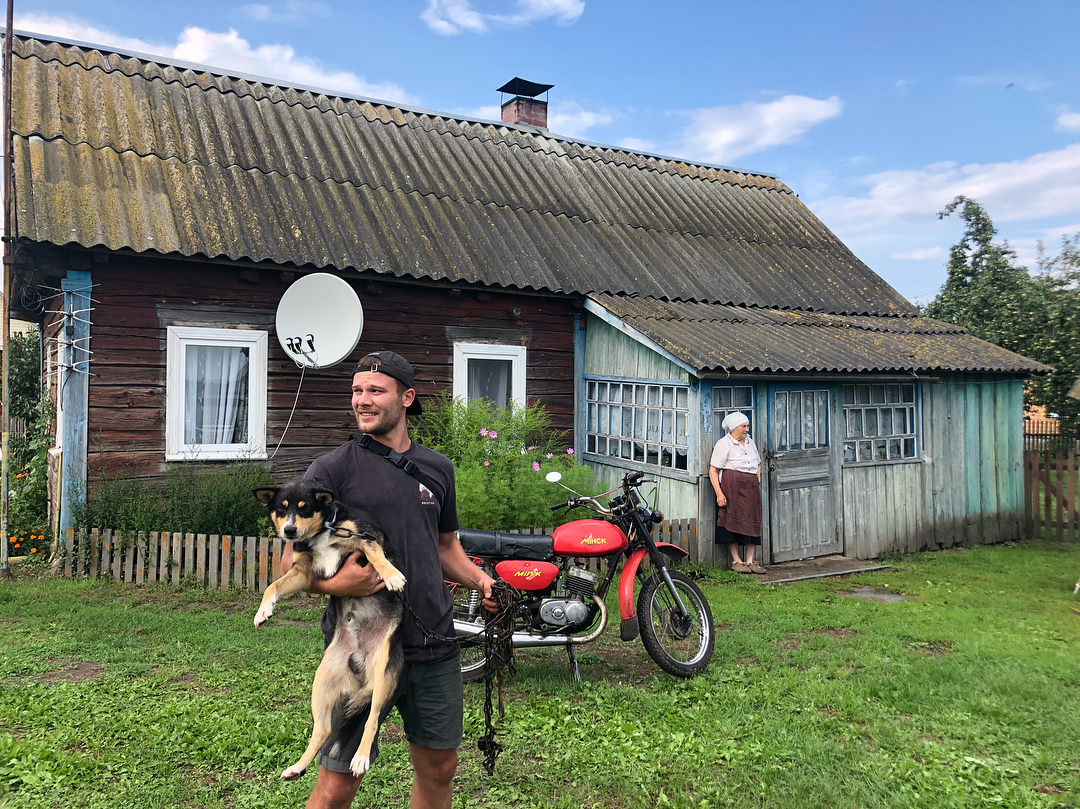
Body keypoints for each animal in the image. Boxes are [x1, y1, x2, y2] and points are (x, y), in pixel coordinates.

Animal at [254, 477, 406, 777]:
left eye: (305, 508)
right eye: (281, 508)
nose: (289, 531)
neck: (323, 530)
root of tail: (361, 666)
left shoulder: (367, 539)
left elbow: (377, 556)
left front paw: (392, 575)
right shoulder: (303, 572)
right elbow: (273, 586)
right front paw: (263, 611)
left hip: (384, 676)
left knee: (371, 721)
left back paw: (360, 758)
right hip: (322, 682)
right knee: (322, 730)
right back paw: (297, 767)